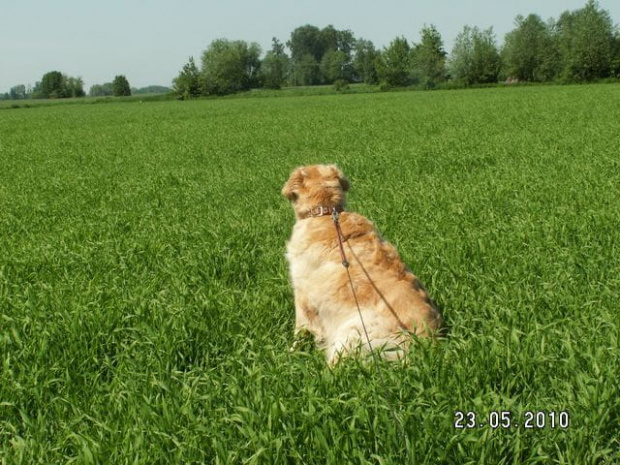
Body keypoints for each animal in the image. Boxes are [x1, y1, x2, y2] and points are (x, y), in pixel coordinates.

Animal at [284, 165, 444, 364]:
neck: (326, 212)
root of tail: (426, 343)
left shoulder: (303, 293)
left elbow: (301, 329)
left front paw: (291, 353)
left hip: (353, 332)